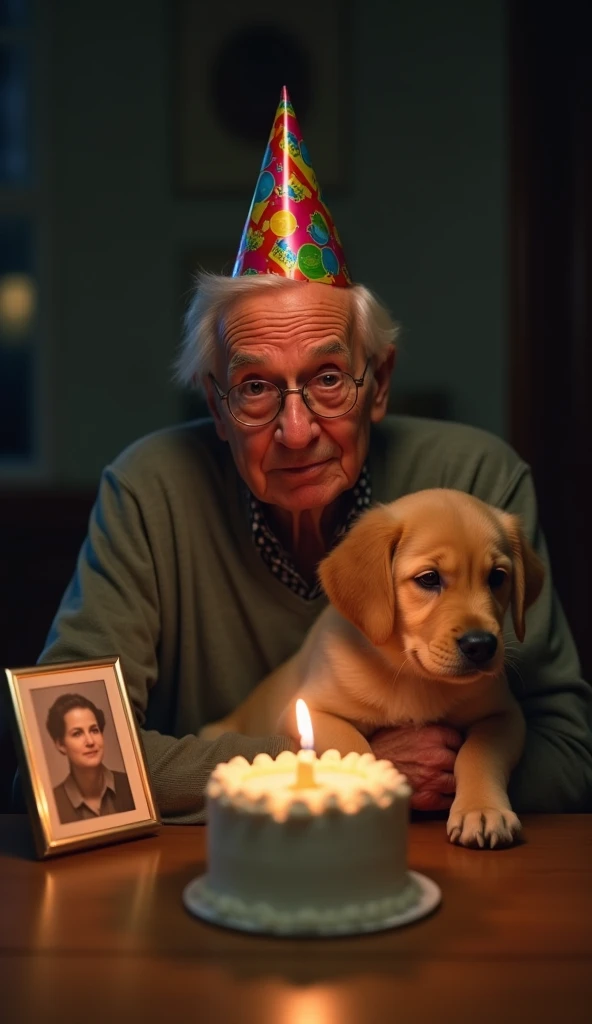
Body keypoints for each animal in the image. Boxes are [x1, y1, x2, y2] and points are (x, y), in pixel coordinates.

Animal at [201, 487, 544, 847]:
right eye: (429, 579)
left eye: (497, 578)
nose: (482, 645)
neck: (413, 677)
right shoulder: (308, 712)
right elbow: (354, 747)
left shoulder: (503, 715)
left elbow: (478, 754)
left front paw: (482, 809)